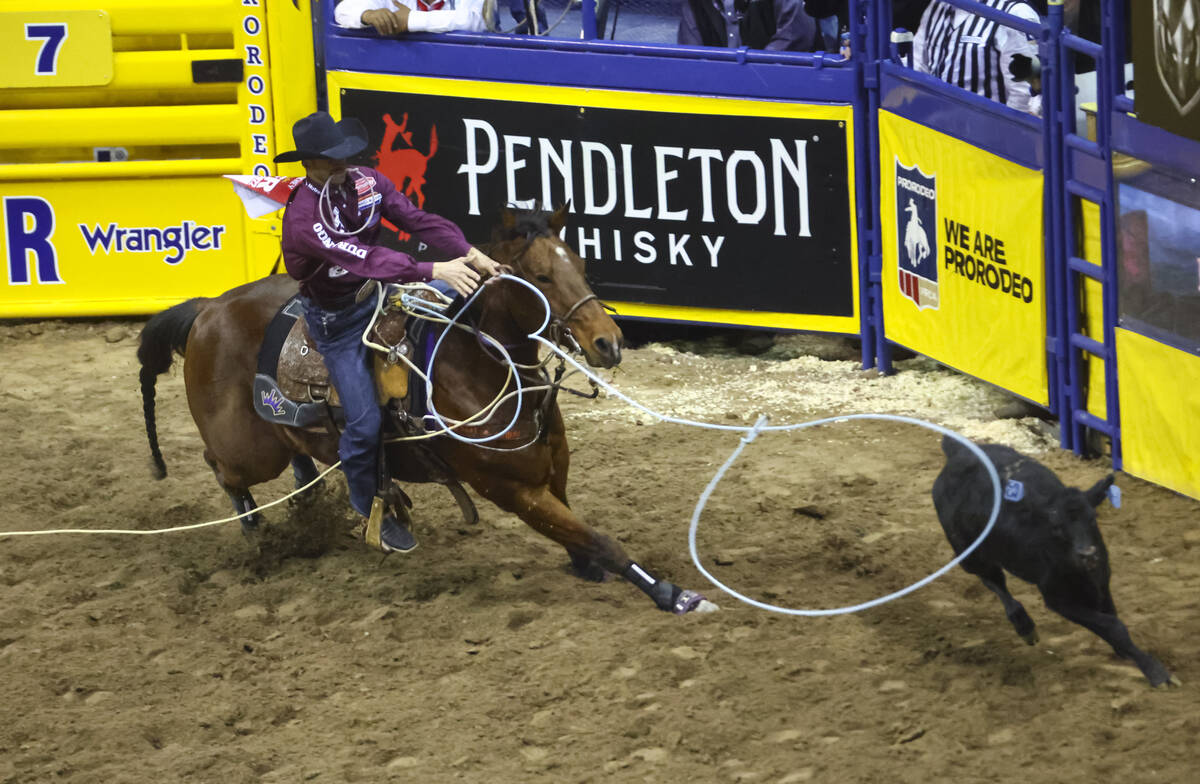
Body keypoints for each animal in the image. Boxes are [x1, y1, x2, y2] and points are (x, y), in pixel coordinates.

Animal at [136, 205, 715, 614]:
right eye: (542, 278)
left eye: (583, 265)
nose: (607, 343)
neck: (483, 369)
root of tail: (208, 308)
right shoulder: (511, 489)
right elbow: (603, 541)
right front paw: (676, 595)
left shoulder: (552, 474)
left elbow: (583, 538)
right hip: (248, 449)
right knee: (222, 468)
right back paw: (257, 532)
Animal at [931, 437, 1176, 686]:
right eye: (1057, 527)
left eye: (1092, 518)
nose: (1088, 554)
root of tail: (957, 452)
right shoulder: (1057, 599)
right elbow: (1112, 625)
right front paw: (1155, 671)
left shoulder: (1101, 580)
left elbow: (1111, 618)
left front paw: (1126, 652)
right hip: (969, 553)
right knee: (994, 581)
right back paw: (1024, 625)